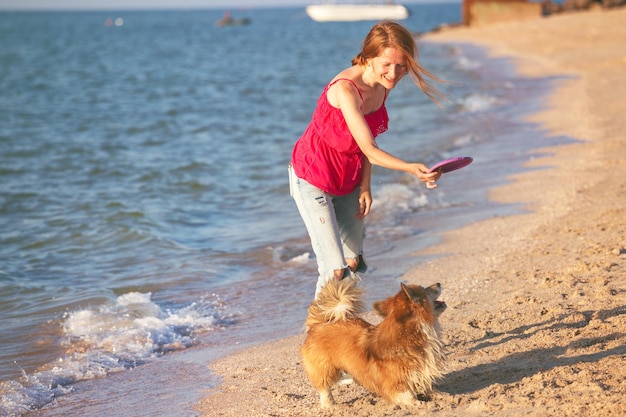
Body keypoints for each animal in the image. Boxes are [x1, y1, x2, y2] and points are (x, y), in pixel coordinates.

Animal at [302, 278, 444, 408]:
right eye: (425, 288)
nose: (439, 283)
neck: (411, 333)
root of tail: (318, 324)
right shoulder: (396, 384)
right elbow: (407, 397)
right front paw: (419, 403)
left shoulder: (420, 373)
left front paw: (441, 395)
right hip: (325, 367)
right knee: (324, 387)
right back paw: (329, 405)